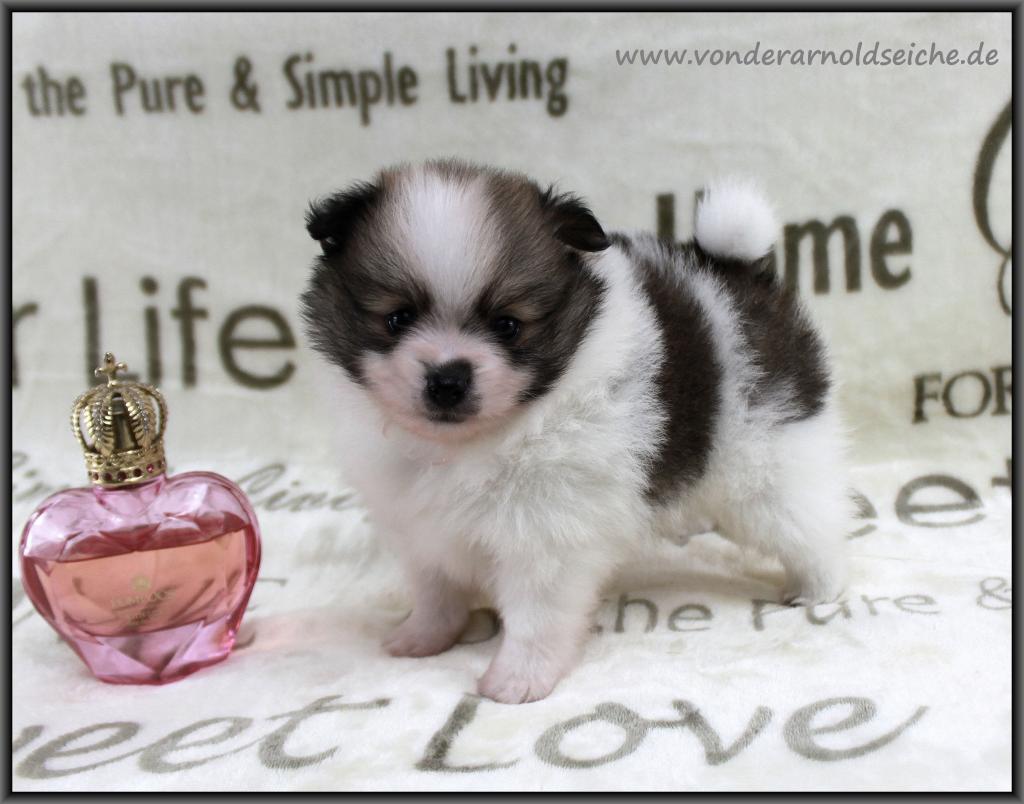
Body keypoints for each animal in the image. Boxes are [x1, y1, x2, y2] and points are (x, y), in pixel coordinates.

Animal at [300, 159, 850, 704]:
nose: (448, 379)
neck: (474, 443)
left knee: (809, 525)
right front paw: (423, 637)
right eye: (397, 318)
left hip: (767, 461)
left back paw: (819, 589)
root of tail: (735, 271)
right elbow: (436, 590)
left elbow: (536, 616)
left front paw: (518, 679)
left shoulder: (546, 534)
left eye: (508, 325)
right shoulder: (420, 527)